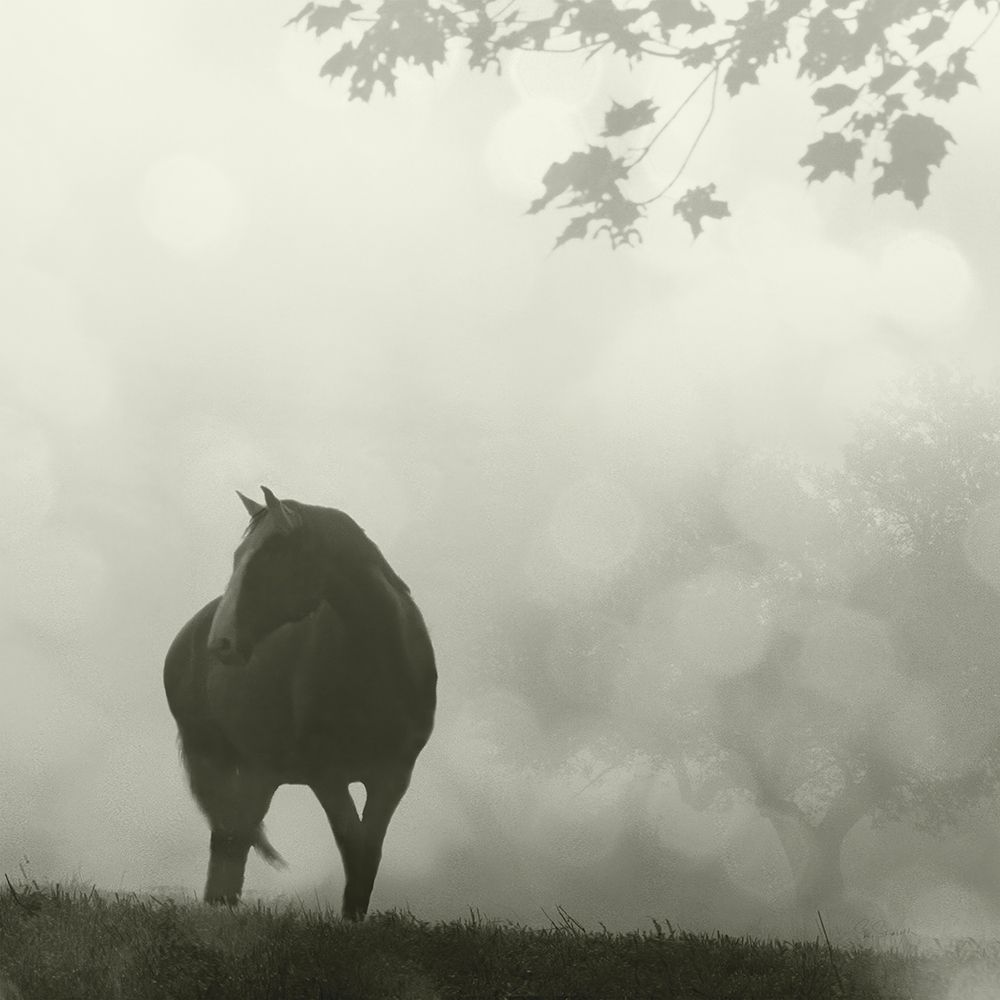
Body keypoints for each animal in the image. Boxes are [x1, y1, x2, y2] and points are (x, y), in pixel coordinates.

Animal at [163, 486, 436, 920]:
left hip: (260, 772)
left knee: (236, 837)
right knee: (227, 836)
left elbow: (369, 852)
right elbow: (352, 845)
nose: (220, 642)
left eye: (271, 554)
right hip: (214, 757)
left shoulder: (393, 776)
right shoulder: (328, 776)